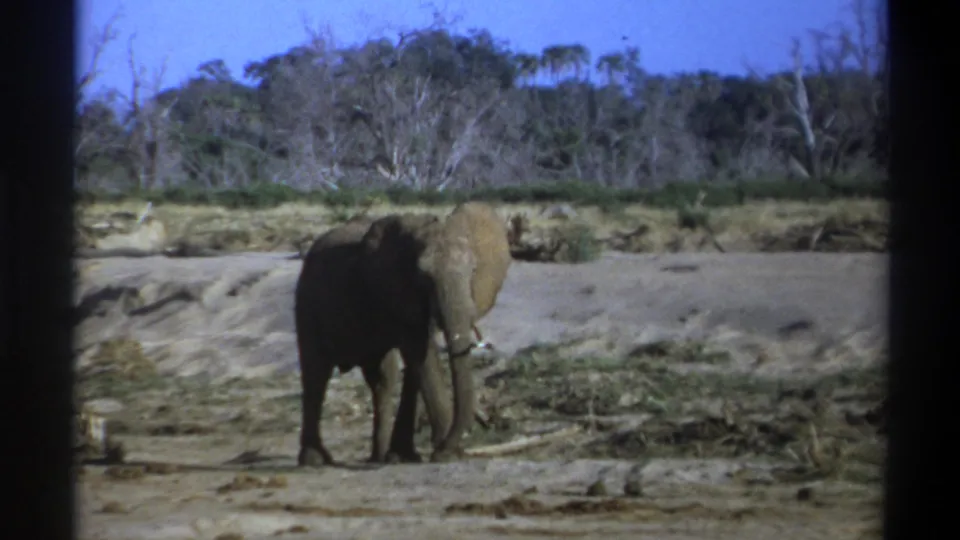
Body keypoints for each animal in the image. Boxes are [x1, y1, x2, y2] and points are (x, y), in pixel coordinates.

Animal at [294, 202, 512, 466]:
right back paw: (314, 460)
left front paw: (407, 455)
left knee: (382, 379)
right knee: (315, 374)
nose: (450, 450)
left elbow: (416, 362)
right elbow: (420, 354)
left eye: (473, 271)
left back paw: (379, 457)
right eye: (424, 278)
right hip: (306, 305)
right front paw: (444, 452)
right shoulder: (398, 292)